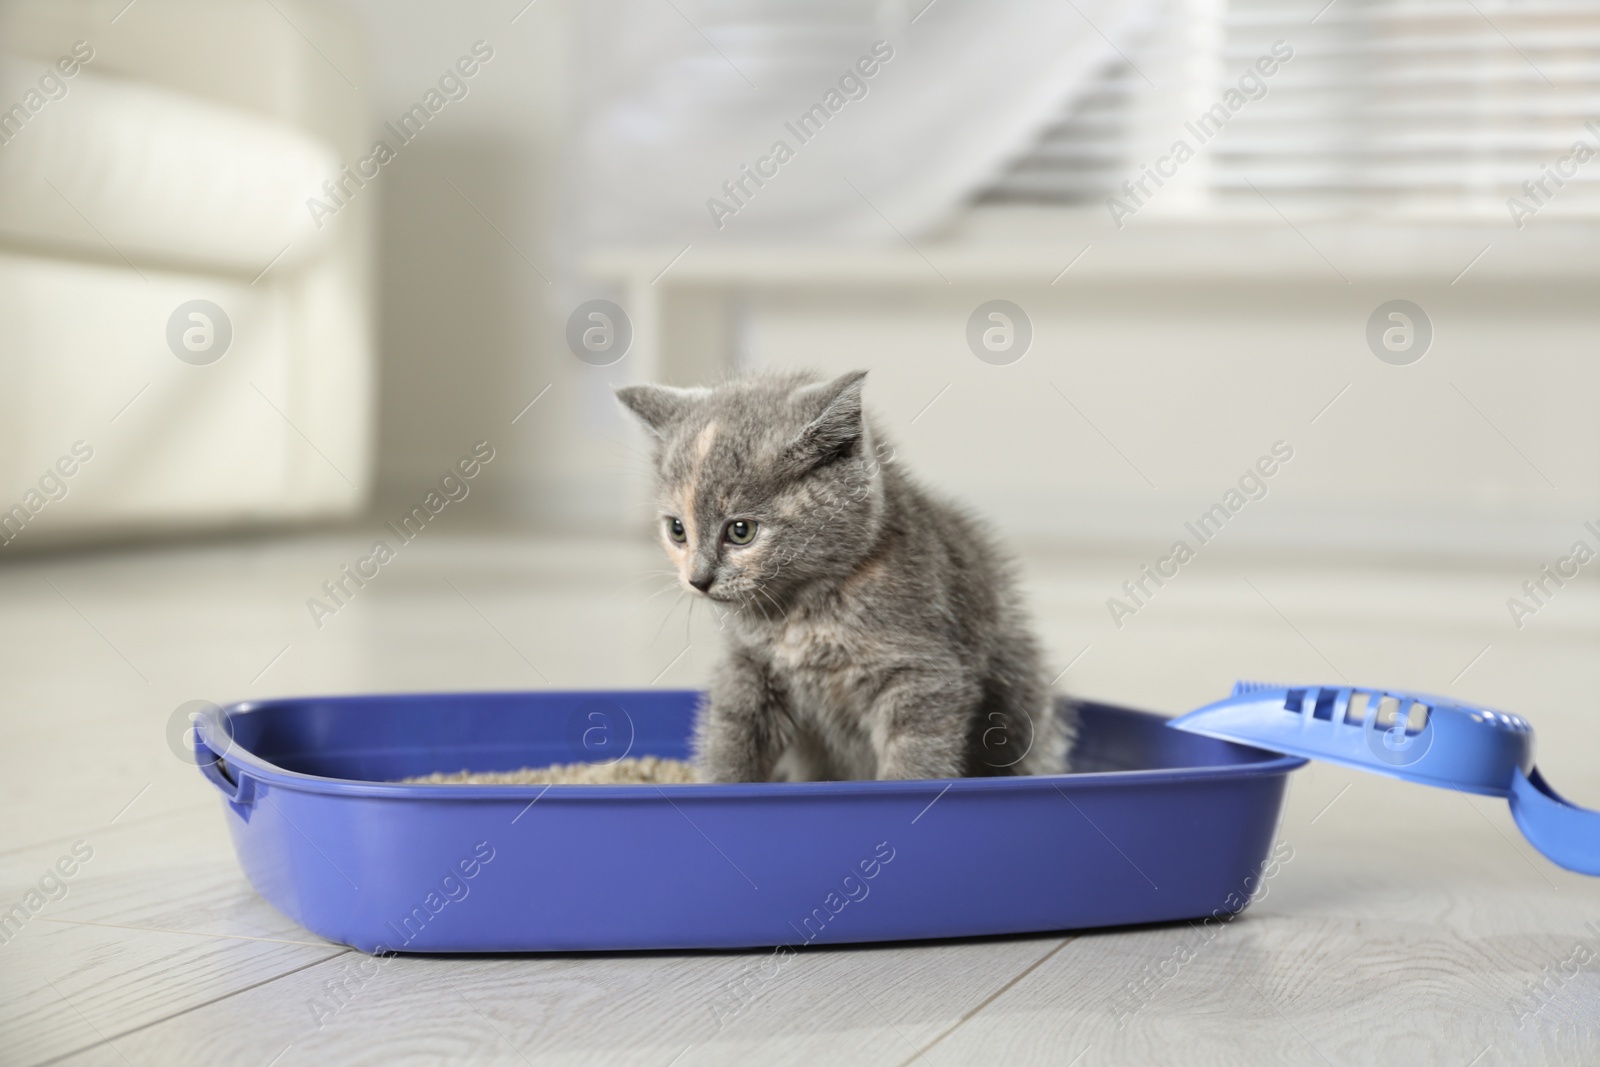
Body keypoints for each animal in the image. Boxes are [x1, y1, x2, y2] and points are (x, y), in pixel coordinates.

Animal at [614, 371, 1075, 780]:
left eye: (741, 531)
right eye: (677, 530)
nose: (698, 579)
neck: (804, 613)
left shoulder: (924, 670)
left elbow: (916, 752)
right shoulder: (749, 665)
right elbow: (730, 733)